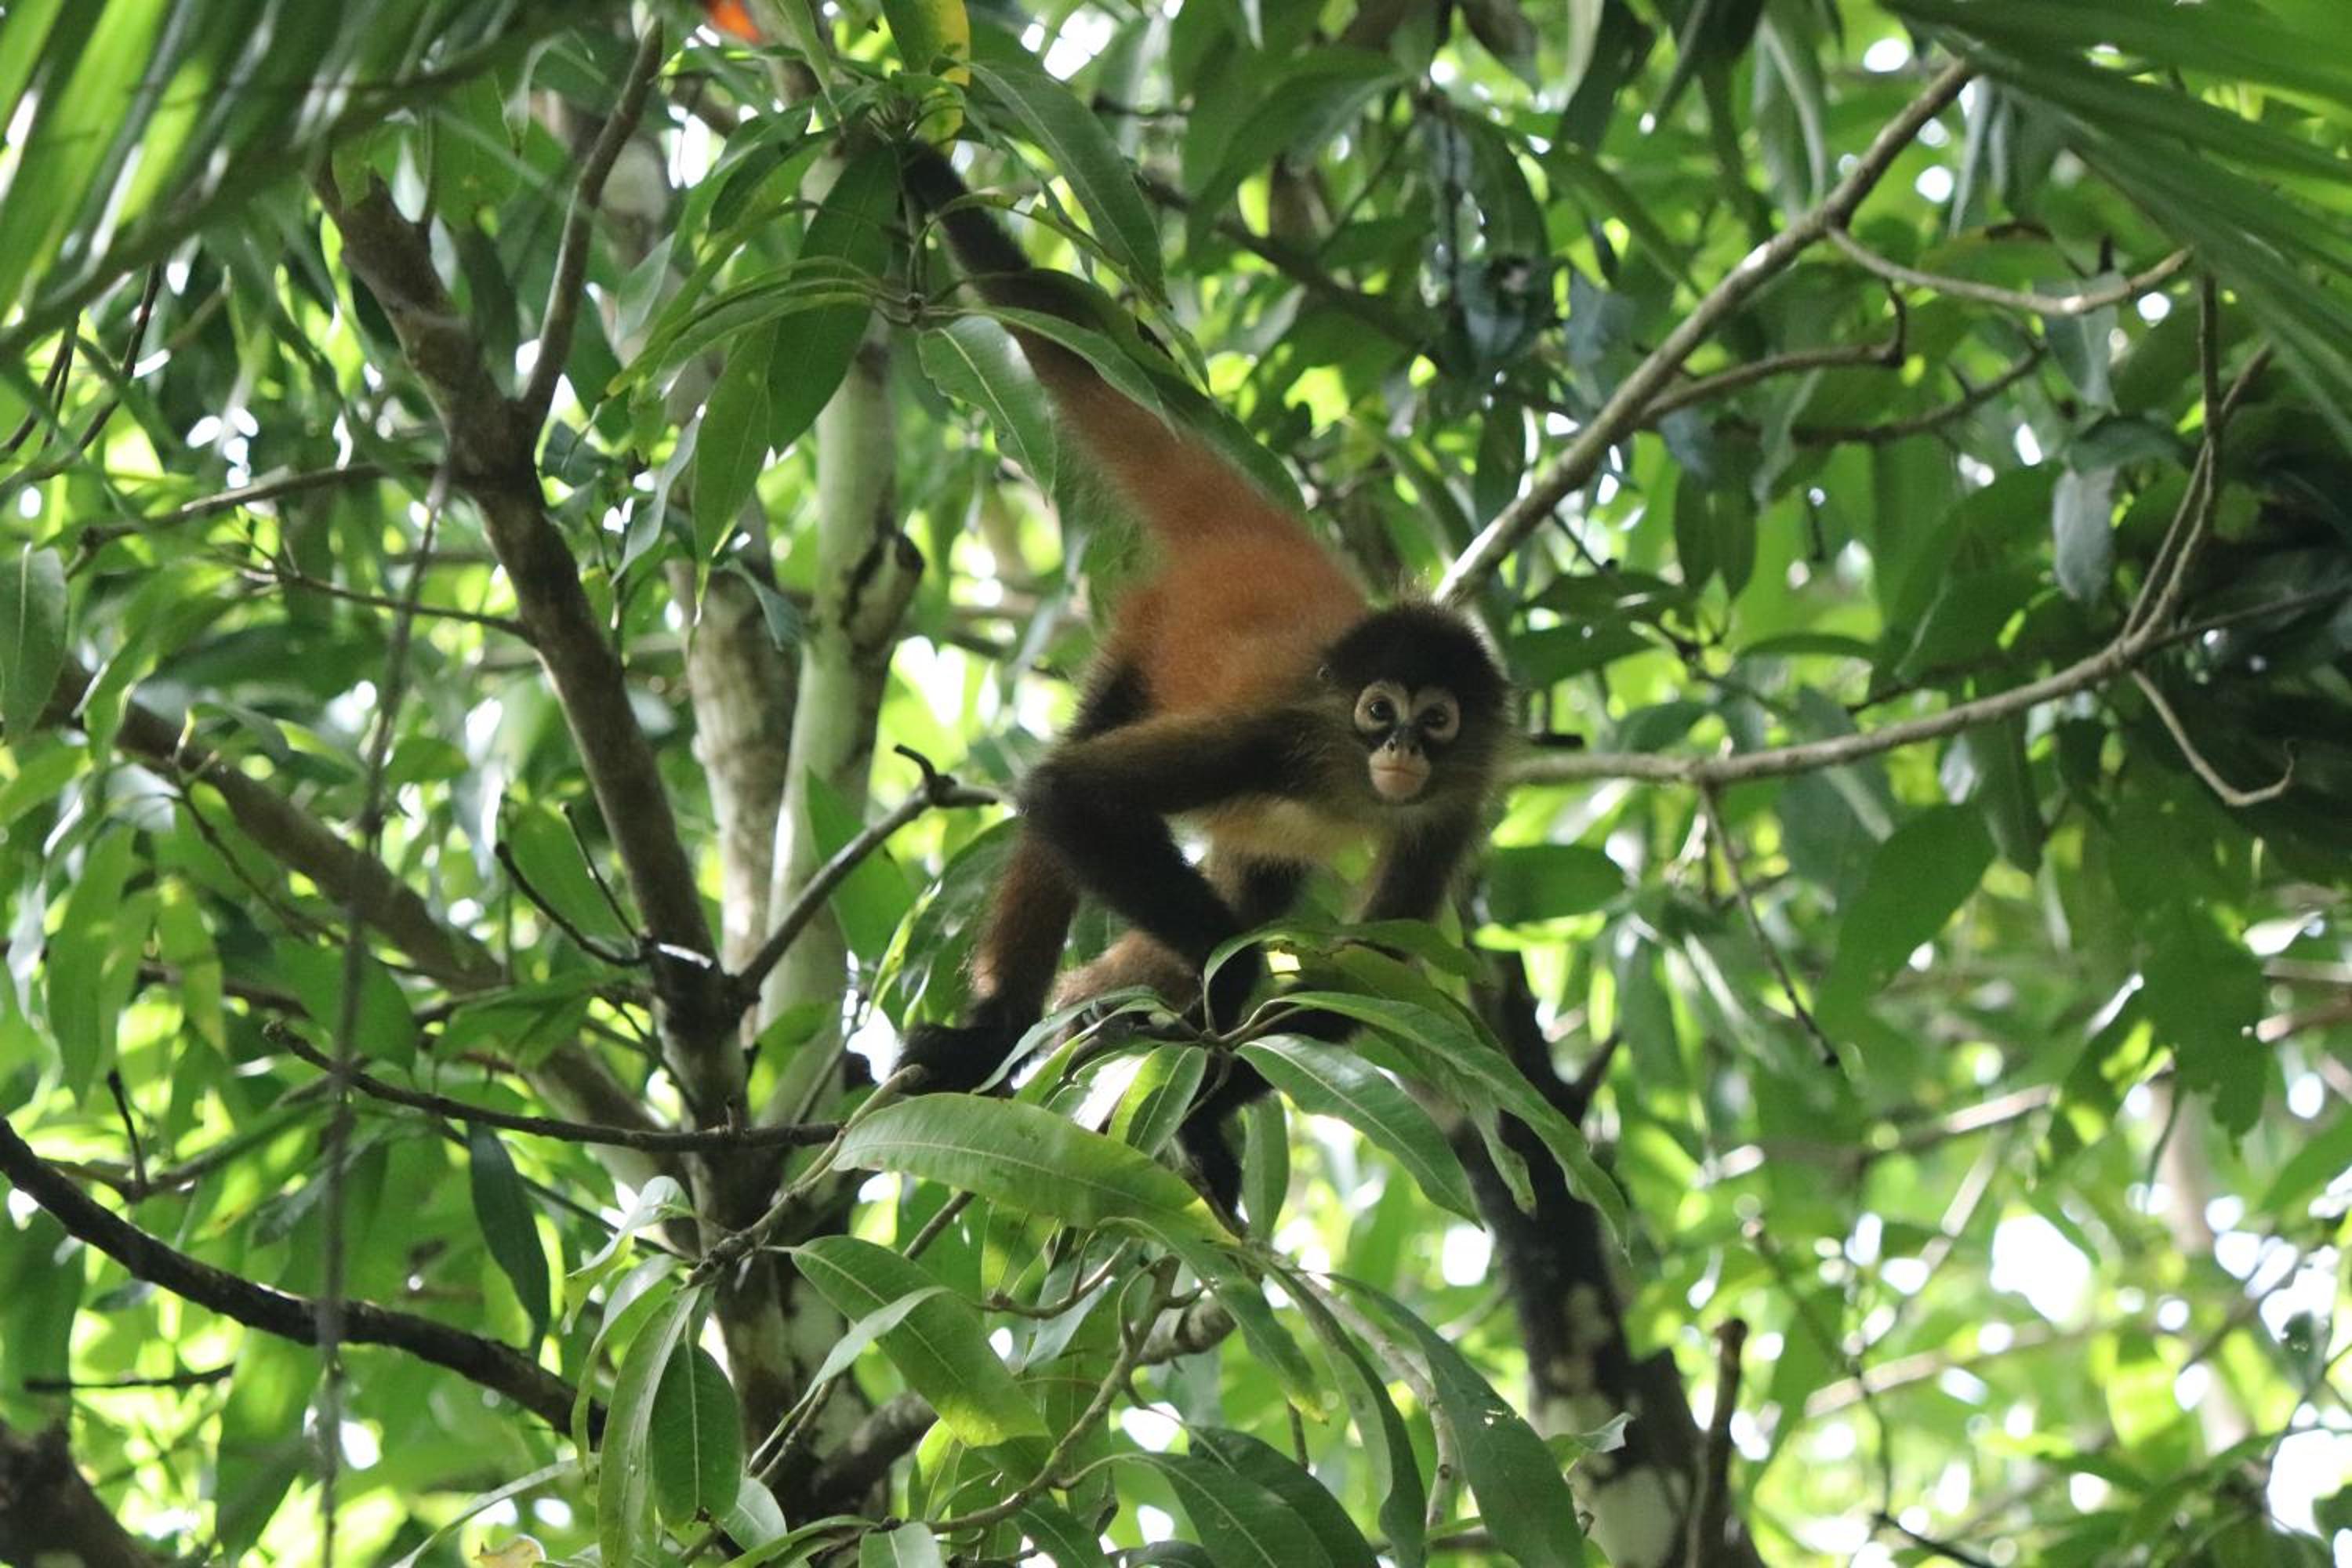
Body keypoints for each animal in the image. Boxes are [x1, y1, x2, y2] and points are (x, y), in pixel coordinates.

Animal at [895, 142, 1509, 1212]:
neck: (1351, 776)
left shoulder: (1448, 809)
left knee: (1250, 882)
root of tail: (1252, 538)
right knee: (1079, 786)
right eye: (1378, 709)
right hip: (1140, 645)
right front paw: (1227, 1010)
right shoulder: (1278, 732)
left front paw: (1210, 1103)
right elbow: (1068, 795)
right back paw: (1002, 1030)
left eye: (1435, 719)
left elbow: (1367, 970)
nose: (1398, 747)